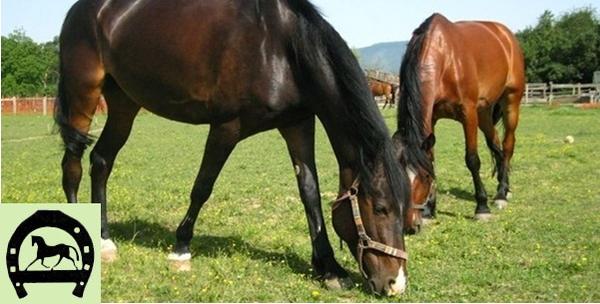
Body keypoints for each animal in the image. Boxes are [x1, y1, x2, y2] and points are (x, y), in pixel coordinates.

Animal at [56, 0, 410, 296]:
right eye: (381, 208)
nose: (395, 283)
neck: (281, 50)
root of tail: (82, 9)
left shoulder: (298, 125)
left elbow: (310, 193)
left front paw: (330, 268)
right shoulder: (227, 127)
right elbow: (202, 187)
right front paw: (181, 248)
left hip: (124, 103)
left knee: (101, 160)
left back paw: (105, 240)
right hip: (83, 93)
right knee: (72, 163)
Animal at [392, 13, 524, 233]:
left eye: (424, 177)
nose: (410, 225)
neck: (445, 58)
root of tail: (505, 35)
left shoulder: (468, 113)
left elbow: (472, 160)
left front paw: (482, 207)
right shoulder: (432, 119)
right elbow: (431, 160)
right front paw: (429, 211)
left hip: (511, 102)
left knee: (507, 146)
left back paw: (501, 194)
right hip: (484, 111)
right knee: (495, 143)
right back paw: (504, 187)